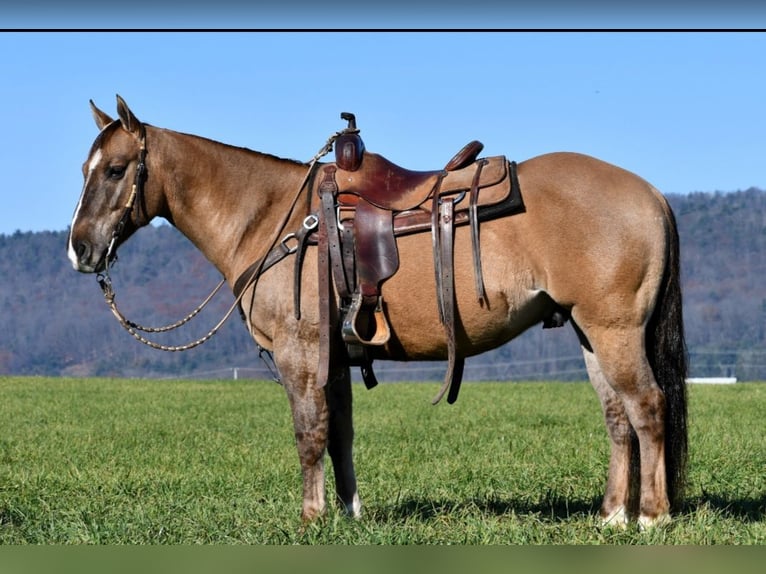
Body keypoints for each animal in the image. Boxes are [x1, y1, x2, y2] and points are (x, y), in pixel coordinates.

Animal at [67, 94, 688, 532]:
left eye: (116, 170)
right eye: (84, 170)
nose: (79, 249)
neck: (272, 217)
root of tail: (651, 194)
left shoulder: (299, 354)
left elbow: (309, 433)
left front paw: (311, 519)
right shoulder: (336, 358)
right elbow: (340, 433)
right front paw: (349, 513)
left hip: (614, 331)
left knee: (647, 407)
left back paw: (652, 517)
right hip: (590, 333)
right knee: (617, 417)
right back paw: (613, 515)